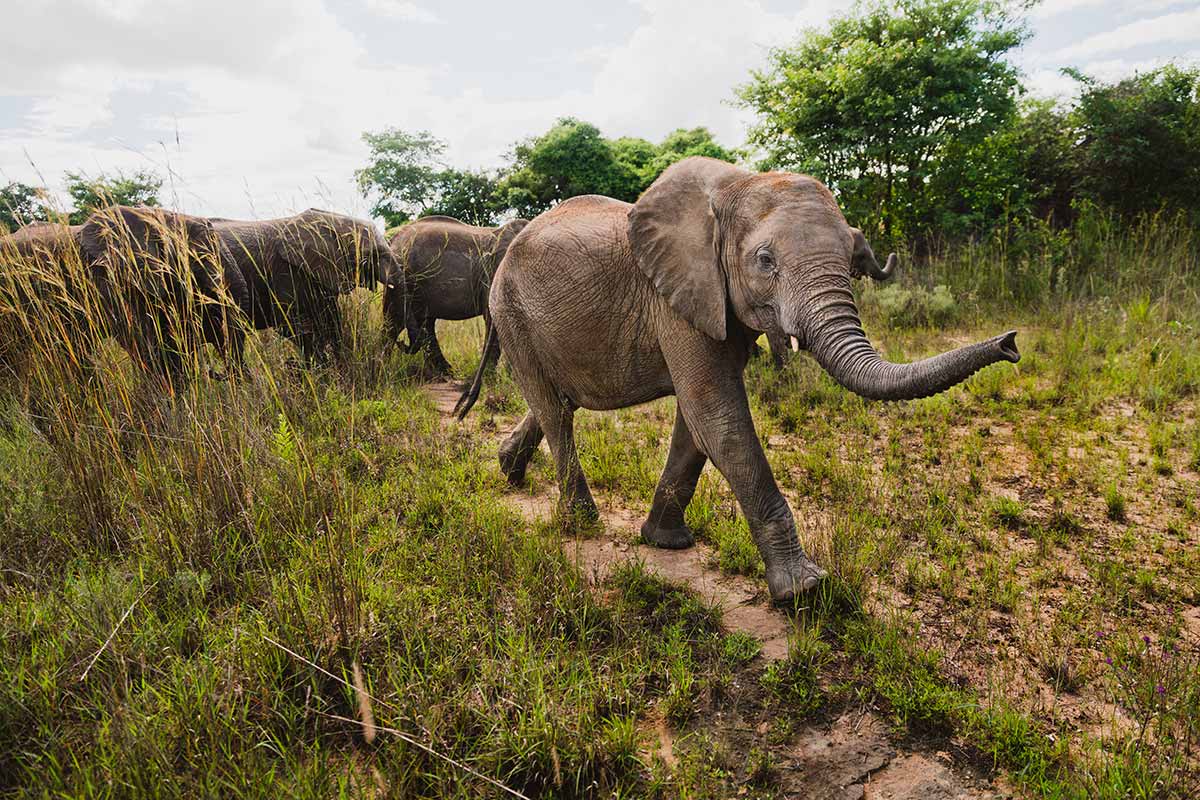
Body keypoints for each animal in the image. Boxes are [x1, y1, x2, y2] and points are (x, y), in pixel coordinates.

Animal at [383, 216, 530, 374]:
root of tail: (393, 240)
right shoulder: (491, 275)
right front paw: (491, 375)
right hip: (402, 281)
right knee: (393, 323)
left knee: (425, 323)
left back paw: (446, 371)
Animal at [455, 157, 1018, 604]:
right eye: (765, 262)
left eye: (852, 262)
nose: (1011, 343)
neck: (739, 184)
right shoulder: (678, 297)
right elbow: (718, 419)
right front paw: (803, 590)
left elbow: (697, 424)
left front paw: (665, 542)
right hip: (510, 309)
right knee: (556, 411)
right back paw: (580, 522)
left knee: (557, 403)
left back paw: (509, 471)